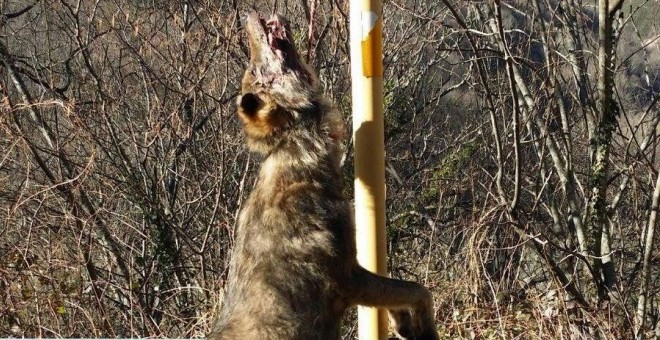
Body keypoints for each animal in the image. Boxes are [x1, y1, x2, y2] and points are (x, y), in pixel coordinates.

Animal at [209, 10, 438, 340]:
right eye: (255, 68)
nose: (247, 17)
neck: (300, 161)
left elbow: (401, 296)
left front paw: (404, 324)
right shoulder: (349, 277)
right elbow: (420, 291)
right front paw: (426, 329)